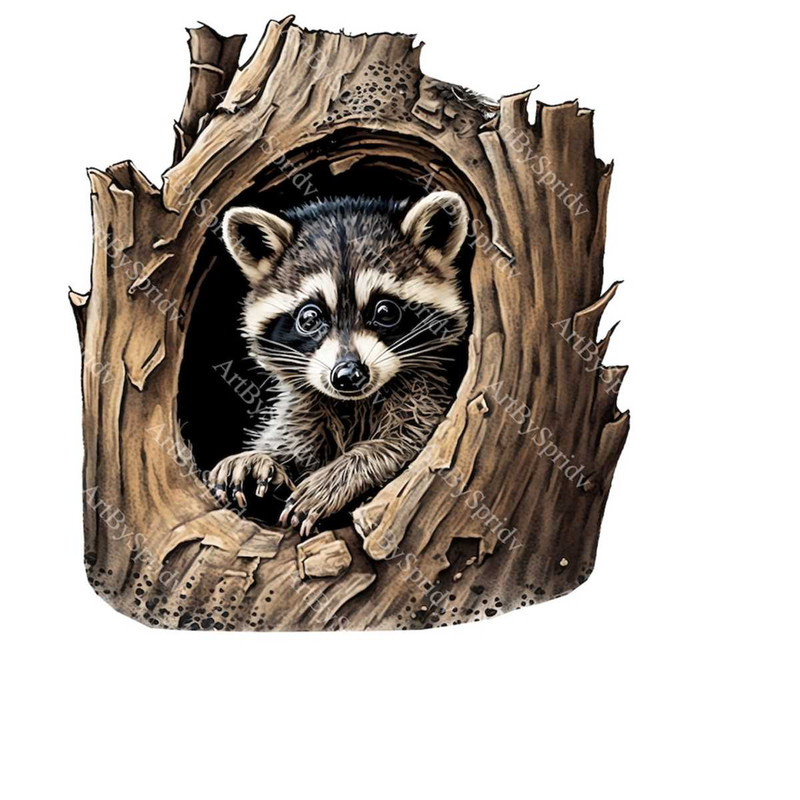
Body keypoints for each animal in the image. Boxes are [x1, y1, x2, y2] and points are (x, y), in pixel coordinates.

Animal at [207, 191, 470, 538]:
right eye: (309, 318)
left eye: (386, 311)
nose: (348, 374)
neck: (353, 404)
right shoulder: (303, 409)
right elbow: (291, 439)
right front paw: (260, 458)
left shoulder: (427, 391)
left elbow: (410, 439)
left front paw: (348, 469)